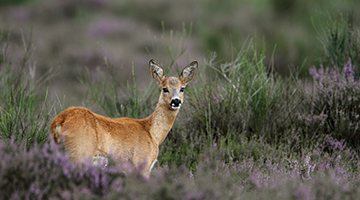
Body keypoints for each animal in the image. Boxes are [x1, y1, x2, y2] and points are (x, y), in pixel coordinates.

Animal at [48, 59, 197, 177]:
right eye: (164, 88)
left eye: (182, 88)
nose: (176, 101)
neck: (152, 133)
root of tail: (59, 122)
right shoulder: (142, 164)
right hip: (80, 153)